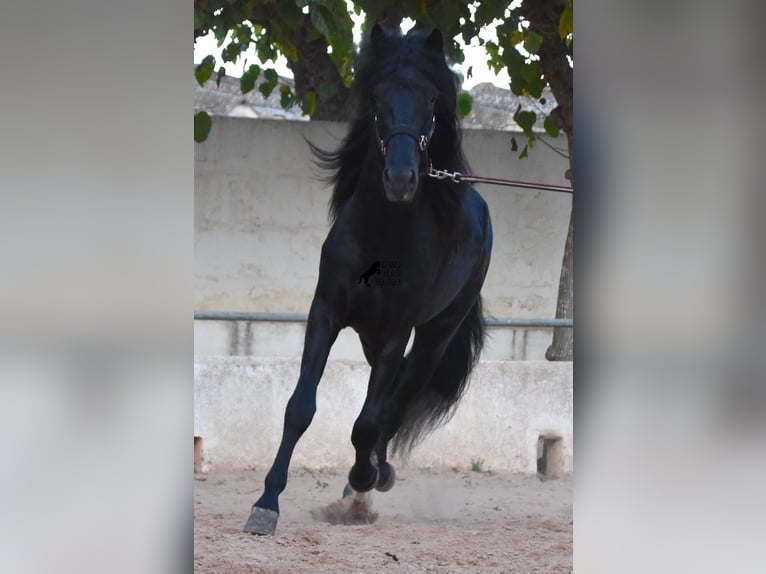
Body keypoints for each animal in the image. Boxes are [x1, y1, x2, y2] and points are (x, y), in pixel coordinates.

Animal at [249, 24, 496, 536]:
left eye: (430, 99)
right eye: (378, 99)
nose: (400, 179)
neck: (381, 238)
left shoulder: (395, 332)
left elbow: (367, 422)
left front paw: (364, 477)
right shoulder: (326, 314)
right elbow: (300, 407)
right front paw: (265, 504)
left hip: (435, 335)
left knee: (399, 397)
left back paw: (372, 476)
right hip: (368, 336)